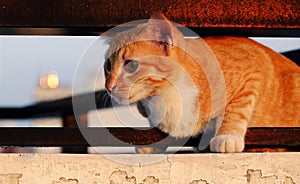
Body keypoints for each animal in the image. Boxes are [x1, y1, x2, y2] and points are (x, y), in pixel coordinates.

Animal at [103, 13, 300, 153]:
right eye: (108, 66)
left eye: (132, 65)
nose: (108, 87)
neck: (167, 93)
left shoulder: (253, 70)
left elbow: (236, 108)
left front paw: (227, 136)